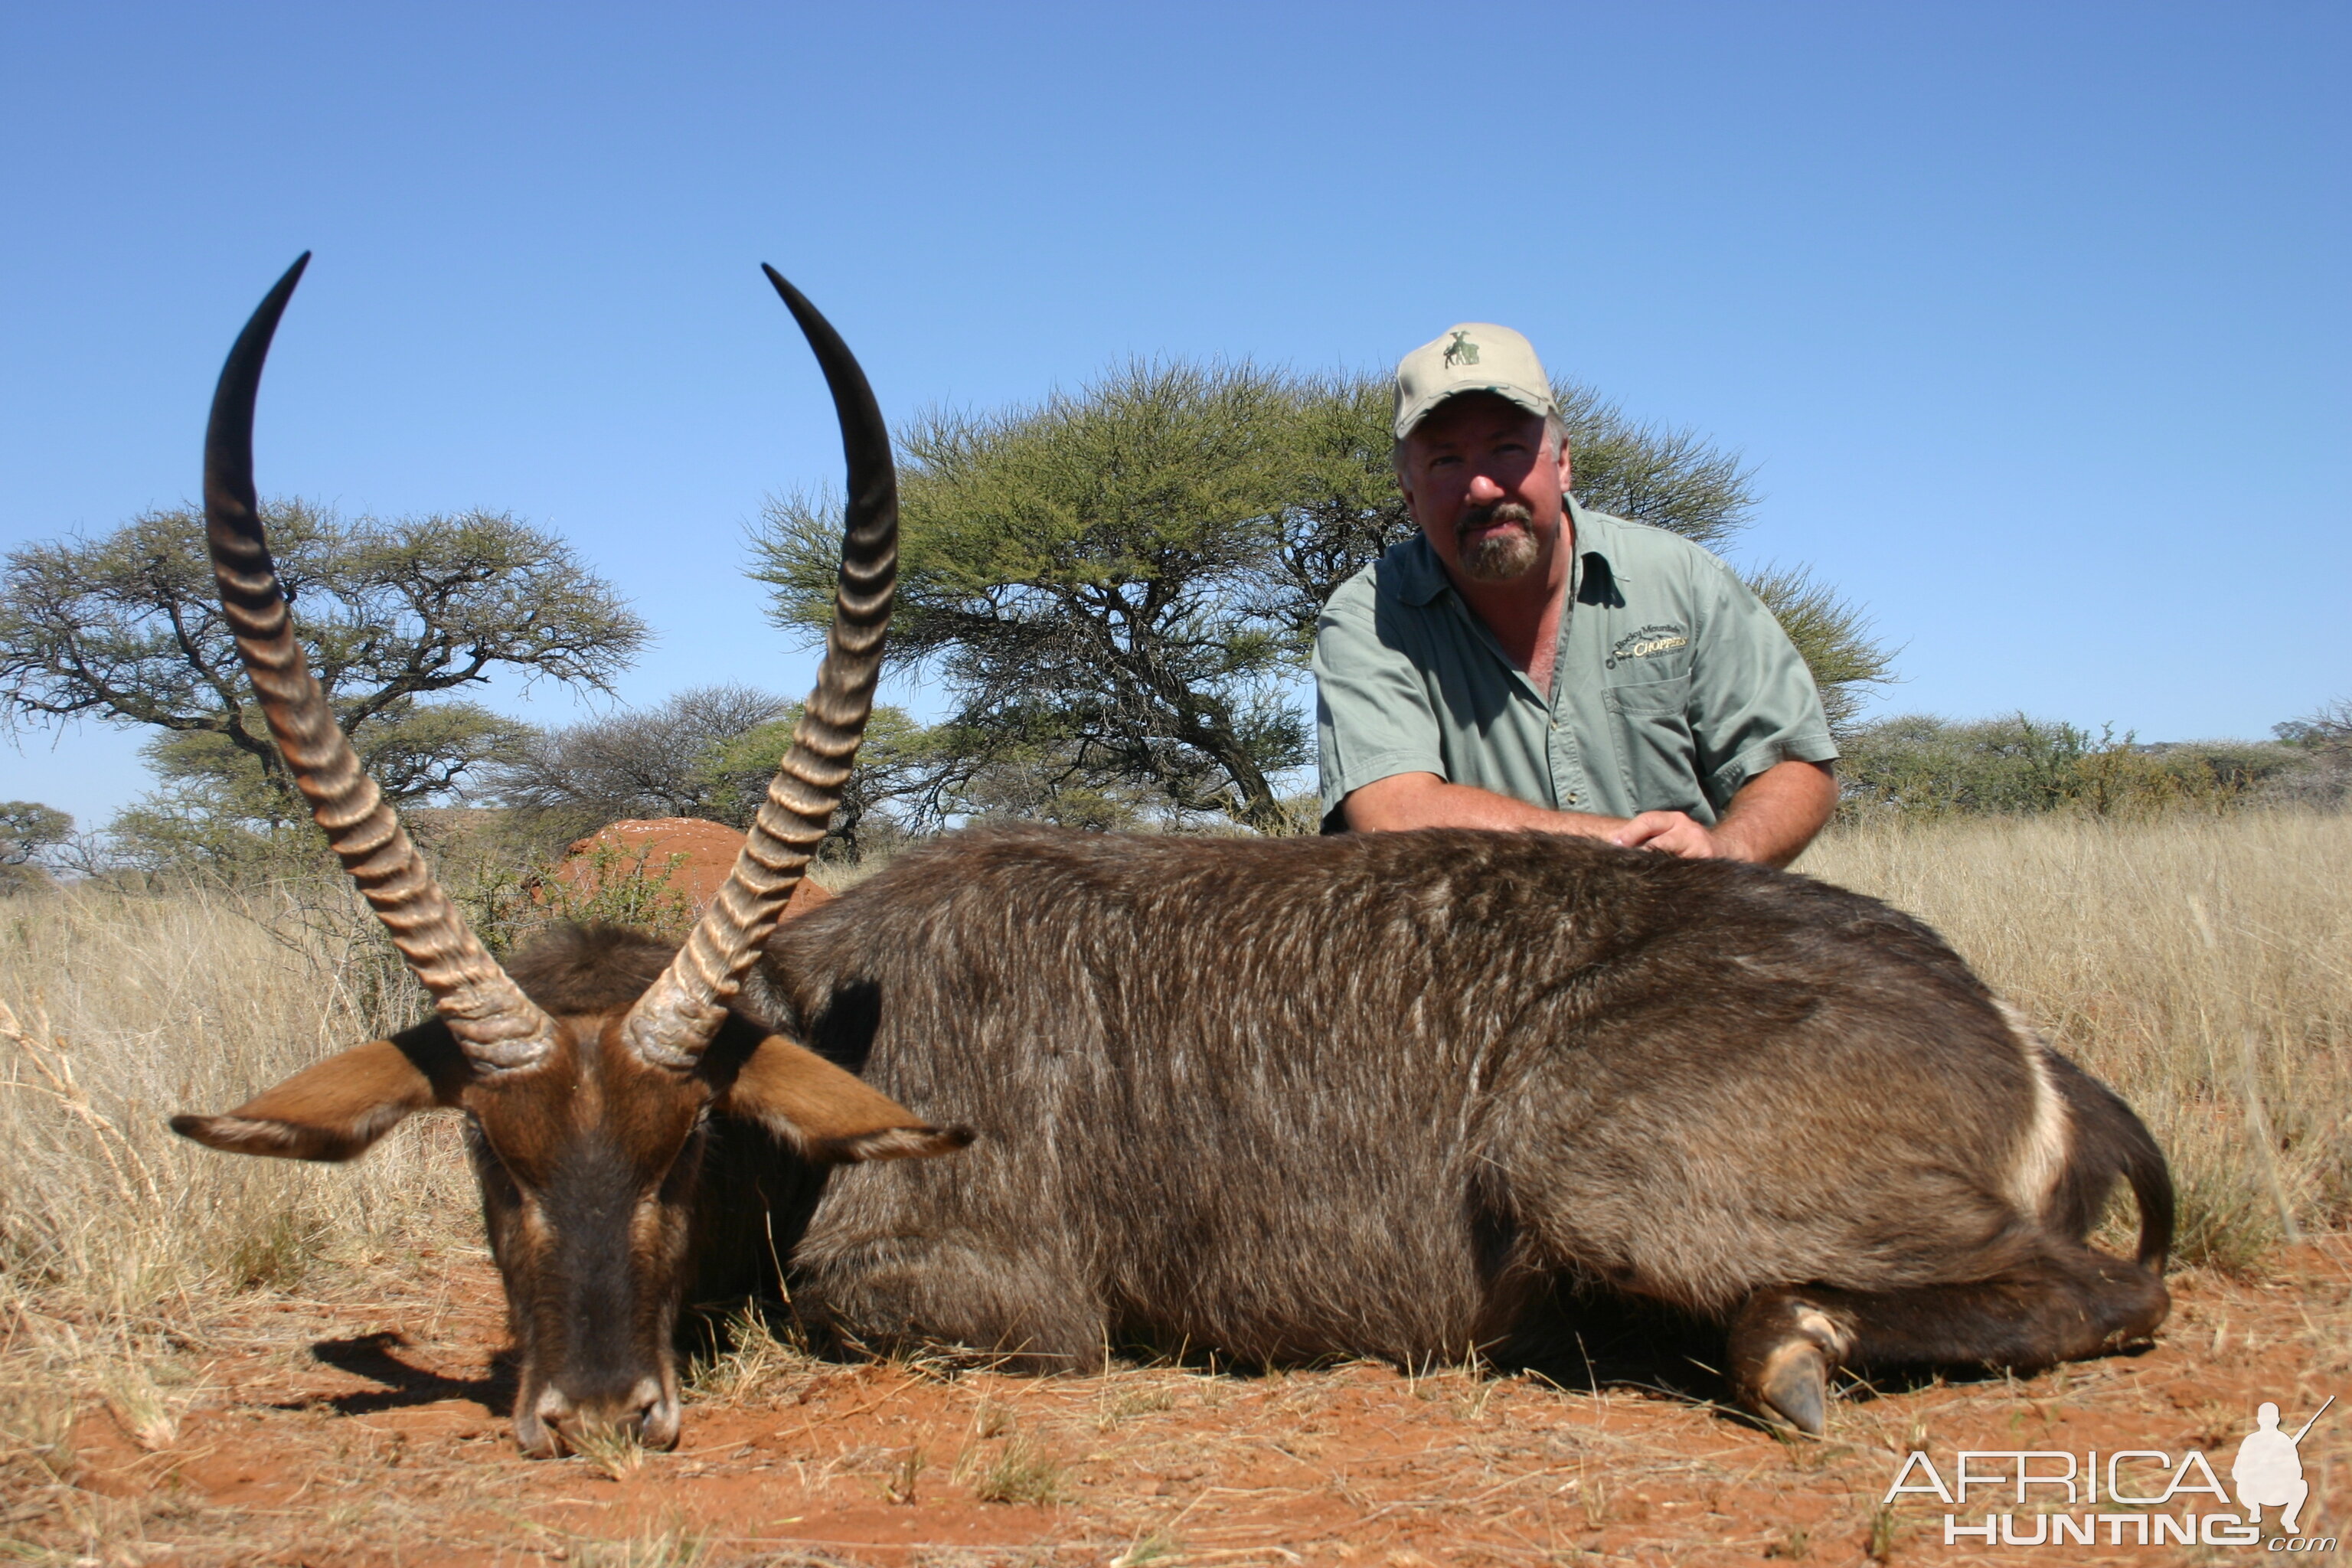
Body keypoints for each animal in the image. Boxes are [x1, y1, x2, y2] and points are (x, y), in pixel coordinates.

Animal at [178, 263, 2164, 1457]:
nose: (596, 1411)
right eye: (485, 1149)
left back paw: (1785, 1346)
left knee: (2097, 1293)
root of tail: (2009, 1030)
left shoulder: (993, 1297)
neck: (838, 1015)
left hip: (1594, 1162)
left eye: (687, 1135)